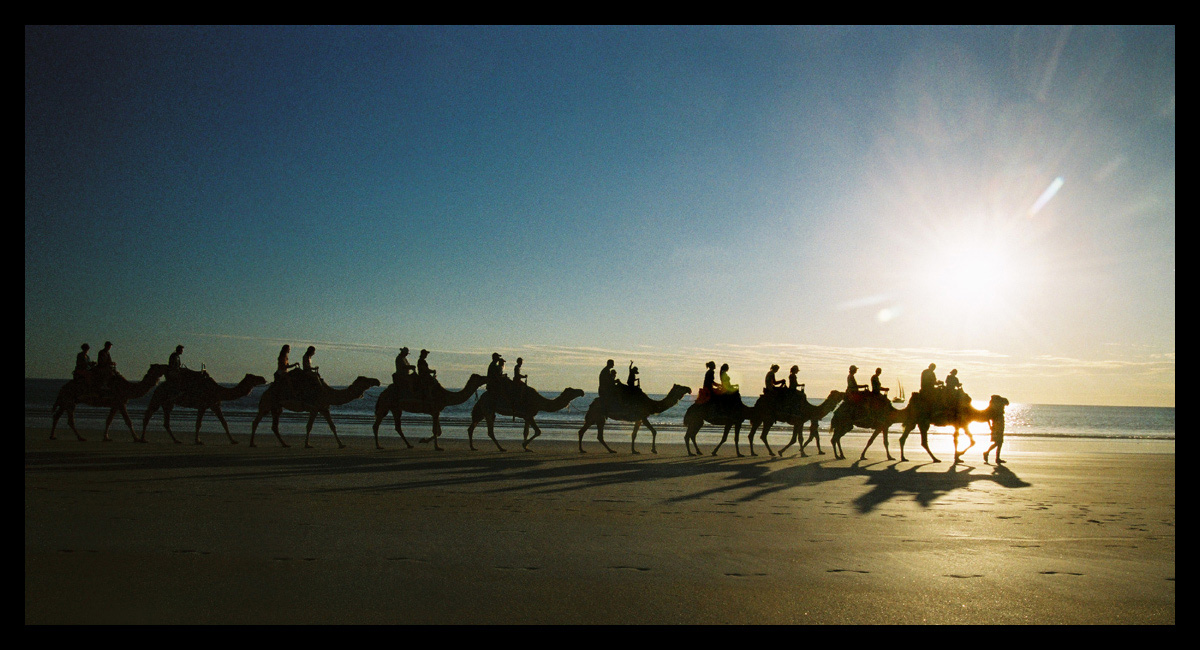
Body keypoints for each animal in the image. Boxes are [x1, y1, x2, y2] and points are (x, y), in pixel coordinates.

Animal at [250, 374, 381, 450]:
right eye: (366, 379)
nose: (377, 381)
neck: (328, 393)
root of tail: (266, 391)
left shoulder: (324, 409)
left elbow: (333, 426)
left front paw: (341, 444)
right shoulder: (314, 408)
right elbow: (309, 426)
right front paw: (307, 444)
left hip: (277, 407)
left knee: (274, 426)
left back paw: (285, 444)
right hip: (267, 403)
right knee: (256, 421)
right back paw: (252, 443)